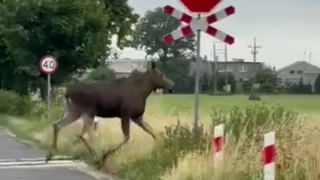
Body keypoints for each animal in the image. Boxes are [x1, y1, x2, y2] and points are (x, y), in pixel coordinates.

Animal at [45, 60, 175, 167]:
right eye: (161, 74)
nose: (172, 85)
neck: (143, 92)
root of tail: (67, 94)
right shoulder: (125, 114)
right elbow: (126, 137)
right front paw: (105, 155)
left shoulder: (137, 117)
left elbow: (154, 134)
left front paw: (159, 150)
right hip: (88, 111)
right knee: (81, 133)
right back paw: (96, 157)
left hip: (74, 111)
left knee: (57, 125)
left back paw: (51, 154)